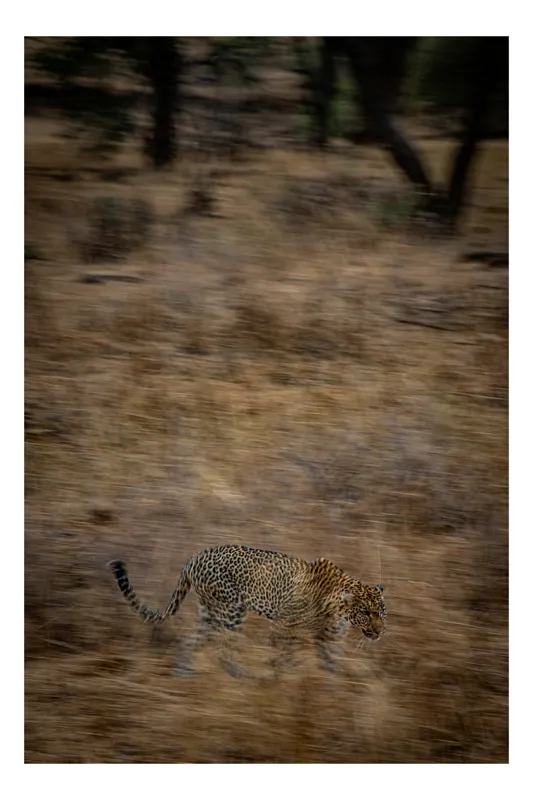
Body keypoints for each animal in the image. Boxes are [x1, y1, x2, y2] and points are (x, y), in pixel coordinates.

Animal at [109, 544, 386, 678]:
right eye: (365, 613)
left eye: (381, 612)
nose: (380, 632)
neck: (340, 610)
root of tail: (194, 558)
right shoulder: (285, 627)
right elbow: (284, 658)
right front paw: (279, 679)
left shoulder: (328, 638)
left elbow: (331, 663)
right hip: (231, 611)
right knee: (223, 649)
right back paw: (240, 675)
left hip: (210, 615)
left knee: (190, 641)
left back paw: (184, 672)